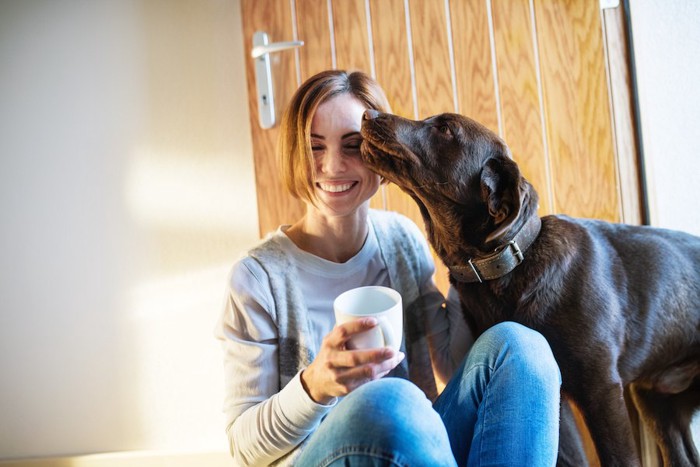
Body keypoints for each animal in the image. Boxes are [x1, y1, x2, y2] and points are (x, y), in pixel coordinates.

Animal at [360, 110, 700, 467]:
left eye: (445, 128)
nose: (369, 113)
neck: (511, 264)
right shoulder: (559, 398)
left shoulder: (601, 390)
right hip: (658, 403)